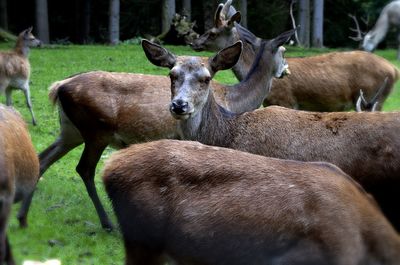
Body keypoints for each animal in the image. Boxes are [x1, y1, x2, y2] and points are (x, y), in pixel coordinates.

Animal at [32, 33, 290, 229]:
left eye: (205, 78)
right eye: (284, 51)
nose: (285, 71)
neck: (235, 103)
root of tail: (58, 86)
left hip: (70, 131)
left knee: (43, 158)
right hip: (97, 130)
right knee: (84, 168)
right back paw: (107, 223)